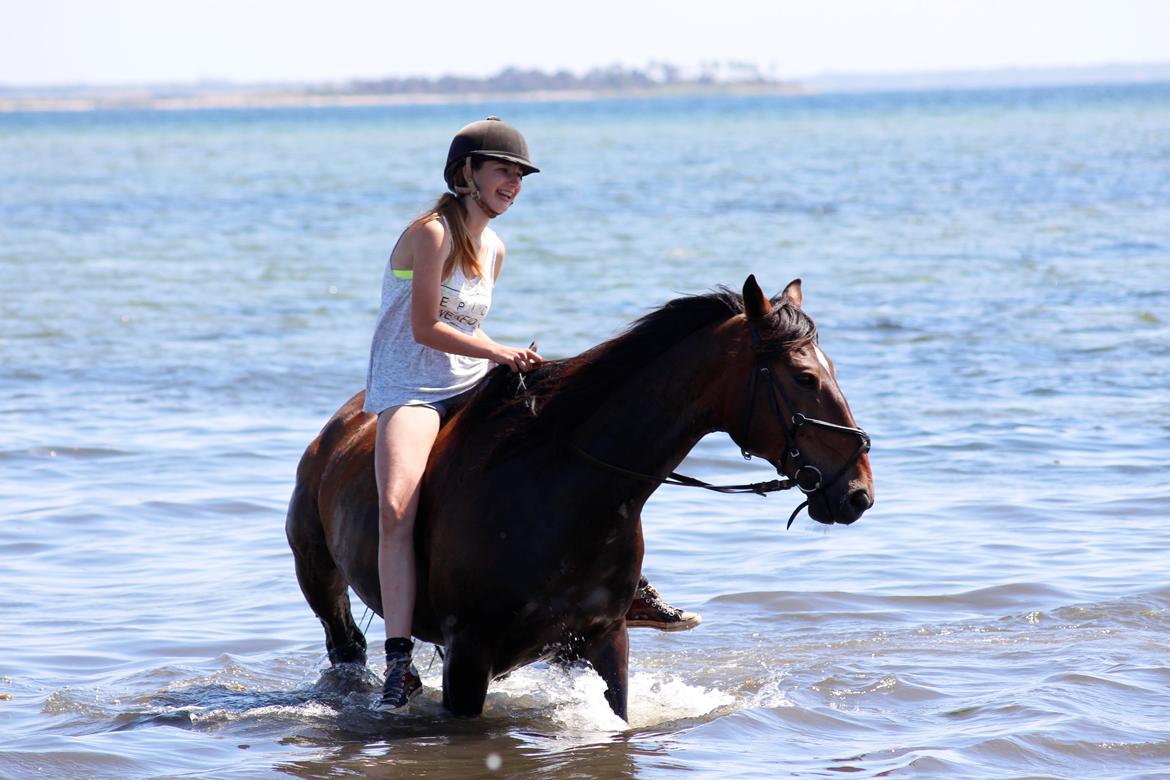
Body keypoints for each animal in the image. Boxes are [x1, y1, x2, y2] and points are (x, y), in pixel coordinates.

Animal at [285, 274, 870, 720]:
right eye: (804, 377)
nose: (858, 492)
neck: (558, 487)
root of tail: (338, 427)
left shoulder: (604, 640)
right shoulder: (468, 653)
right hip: (321, 580)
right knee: (347, 646)